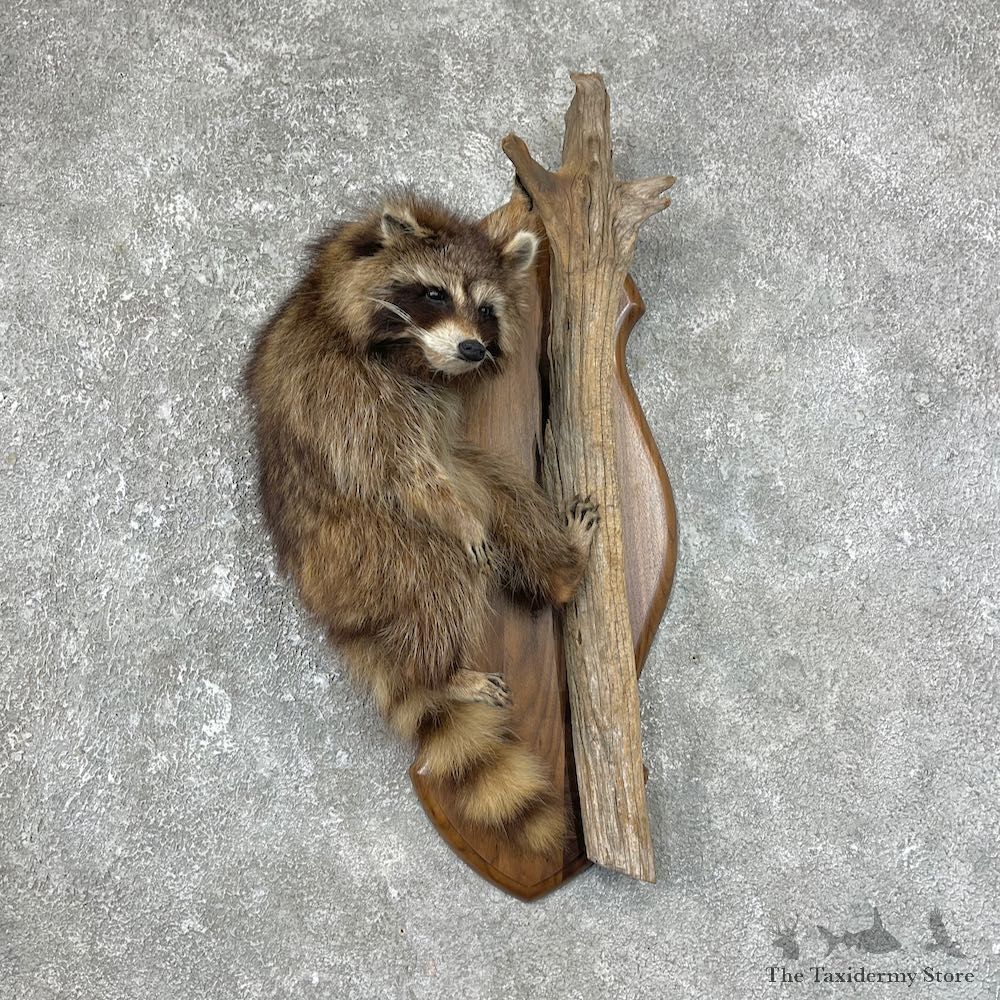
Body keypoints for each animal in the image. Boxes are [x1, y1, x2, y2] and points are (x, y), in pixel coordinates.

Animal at [245, 192, 598, 854]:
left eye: (486, 310)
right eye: (435, 294)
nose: (473, 351)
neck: (409, 356)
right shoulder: (344, 391)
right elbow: (403, 472)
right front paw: (453, 514)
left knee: (500, 487)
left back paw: (563, 569)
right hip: (372, 552)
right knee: (442, 578)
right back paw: (442, 673)